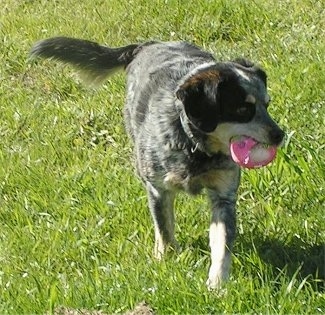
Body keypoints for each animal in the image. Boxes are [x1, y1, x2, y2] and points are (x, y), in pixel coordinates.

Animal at [30, 37, 284, 288]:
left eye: (267, 104)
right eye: (242, 109)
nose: (280, 135)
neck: (193, 146)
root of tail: (146, 44)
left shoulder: (224, 194)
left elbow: (221, 242)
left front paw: (217, 283)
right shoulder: (158, 188)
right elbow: (164, 229)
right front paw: (166, 258)